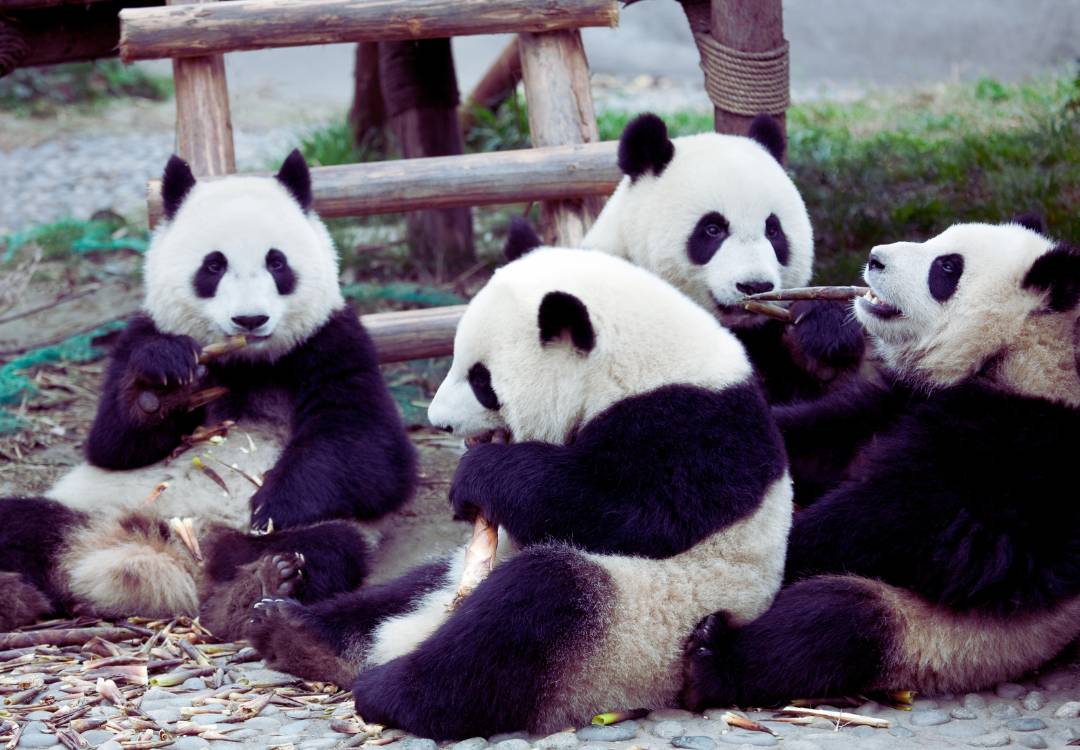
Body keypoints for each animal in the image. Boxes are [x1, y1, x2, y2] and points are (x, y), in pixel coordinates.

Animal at [0, 151, 416, 633]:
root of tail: (162, 550)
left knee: (323, 547)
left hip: (289, 535)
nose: (250, 320)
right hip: (88, 505)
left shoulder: (332, 342)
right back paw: (17, 595)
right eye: (213, 265)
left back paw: (260, 586)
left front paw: (272, 504)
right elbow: (111, 446)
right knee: (22, 522)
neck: (247, 362)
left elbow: (372, 454)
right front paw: (159, 387)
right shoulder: (138, 335)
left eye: (277, 262)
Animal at [243, 246, 793, 739]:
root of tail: (413, 634)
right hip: (464, 578)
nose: (438, 422)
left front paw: (478, 475)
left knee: (530, 608)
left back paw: (386, 688)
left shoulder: (694, 426)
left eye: (481, 379)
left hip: (640, 632)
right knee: (400, 592)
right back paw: (289, 624)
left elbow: (635, 512)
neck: (640, 361)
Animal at [681, 221, 1080, 708]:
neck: (1019, 349)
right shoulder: (900, 399)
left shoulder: (1027, 449)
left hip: (944, 640)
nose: (875, 258)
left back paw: (710, 658)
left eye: (947, 268)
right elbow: (828, 437)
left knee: (834, 623)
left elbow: (925, 531)